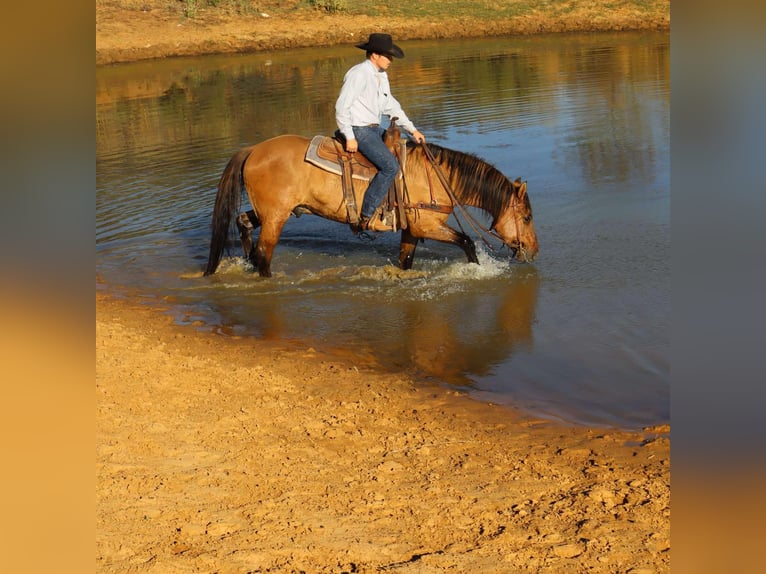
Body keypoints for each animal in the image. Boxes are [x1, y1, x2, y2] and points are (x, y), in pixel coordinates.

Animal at [204, 135, 540, 280]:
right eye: (526, 217)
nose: (534, 251)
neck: (436, 176)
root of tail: (253, 149)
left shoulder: (412, 229)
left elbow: (405, 260)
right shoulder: (427, 225)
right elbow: (468, 242)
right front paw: (477, 269)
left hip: (269, 212)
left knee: (243, 222)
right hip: (276, 216)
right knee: (265, 252)